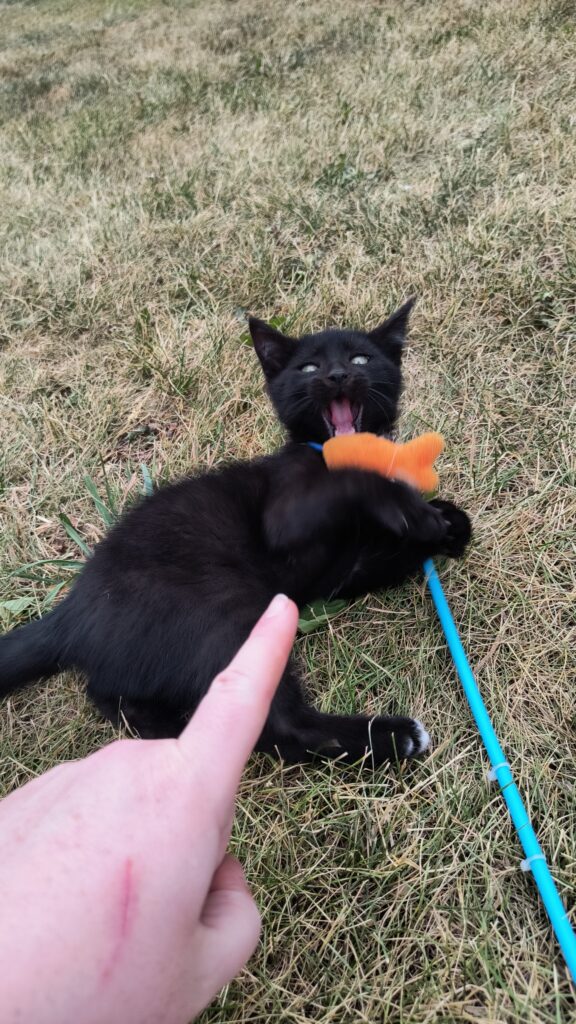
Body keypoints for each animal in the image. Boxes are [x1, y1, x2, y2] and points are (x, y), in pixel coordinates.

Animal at [0, 299, 471, 765]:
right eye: (309, 368)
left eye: (360, 358)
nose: (337, 375)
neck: (323, 448)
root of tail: (69, 614)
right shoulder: (285, 512)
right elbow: (353, 477)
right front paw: (415, 511)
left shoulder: (344, 570)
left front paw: (448, 523)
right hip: (224, 610)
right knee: (278, 725)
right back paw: (394, 736)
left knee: (111, 694)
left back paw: (165, 731)